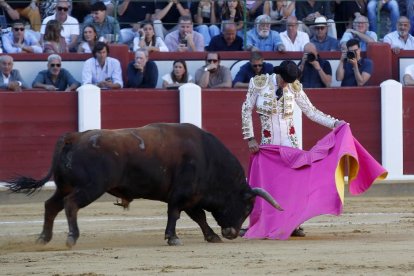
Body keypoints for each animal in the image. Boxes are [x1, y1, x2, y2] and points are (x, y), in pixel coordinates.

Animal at [5, 123, 282, 246]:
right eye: (247, 207)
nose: (232, 233)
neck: (208, 159)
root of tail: (73, 137)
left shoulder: (192, 196)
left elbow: (199, 217)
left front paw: (211, 236)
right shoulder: (181, 195)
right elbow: (176, 214)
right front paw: (173, 238)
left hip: (64, 185)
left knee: (51, 206)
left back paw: (43, 238)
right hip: (89, 188)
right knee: (70, 205)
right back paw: (71, 237)